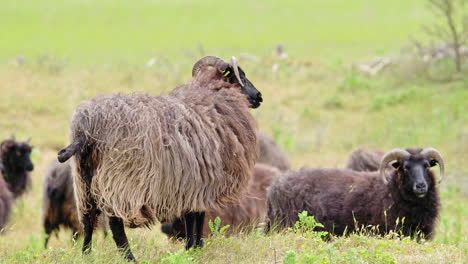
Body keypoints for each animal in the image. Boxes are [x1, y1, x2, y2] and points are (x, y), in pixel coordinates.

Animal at [56, 55, 262, 262]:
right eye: (240, 76)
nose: (259, 96)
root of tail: (87, 130)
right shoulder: (198, 183)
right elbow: (195, 218)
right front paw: (193, 249)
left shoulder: (195, 184)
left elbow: (195, 216)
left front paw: (195, 248)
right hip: (119, 178)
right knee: (115, 223)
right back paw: (130, 258)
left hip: (83, 180)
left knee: (88, 219)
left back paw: (86, 254)